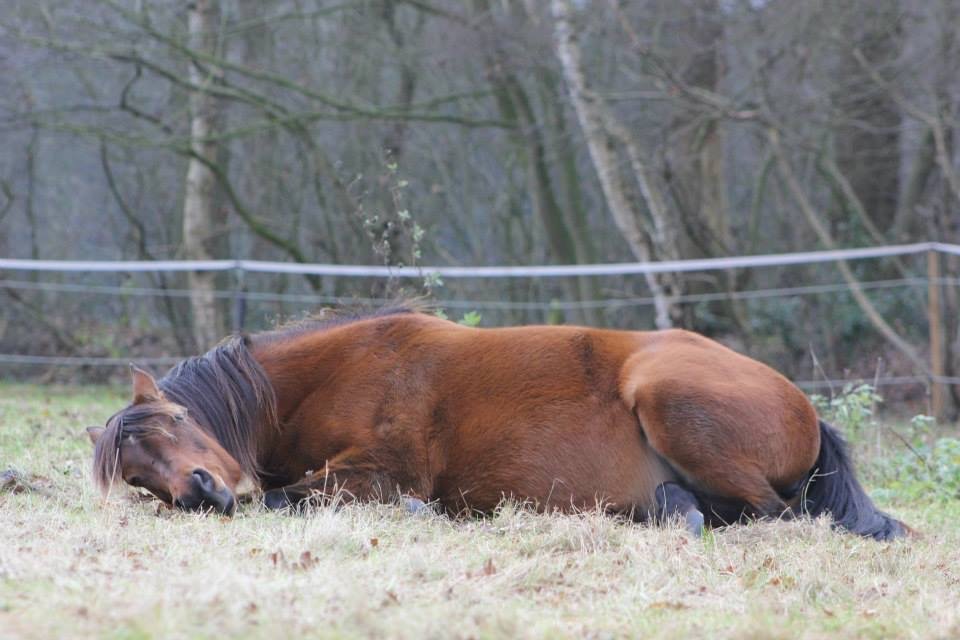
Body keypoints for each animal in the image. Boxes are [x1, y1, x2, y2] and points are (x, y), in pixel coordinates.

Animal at [86, 307, 907, 540]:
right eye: (140, 480)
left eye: (176, 421)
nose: (202, 493)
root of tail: (805, 406)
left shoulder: (382, 469)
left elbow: (298, 496)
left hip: (670, 398)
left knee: (780, 516)